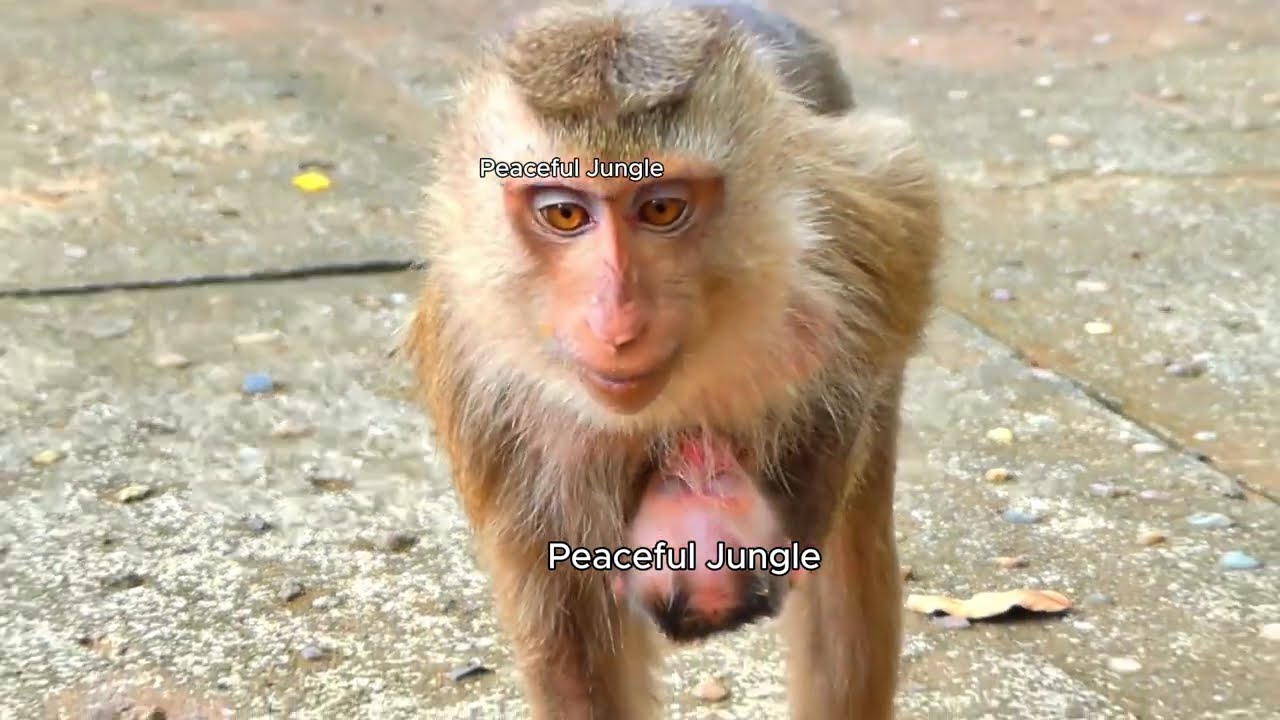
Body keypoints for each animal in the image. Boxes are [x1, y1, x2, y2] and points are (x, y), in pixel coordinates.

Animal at [404, 2, 941, 718]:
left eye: (661, 207)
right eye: (565, 214)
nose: (618, 323)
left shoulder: (855, 237)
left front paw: (809, 493)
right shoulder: (477, 379)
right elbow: (565, 636)